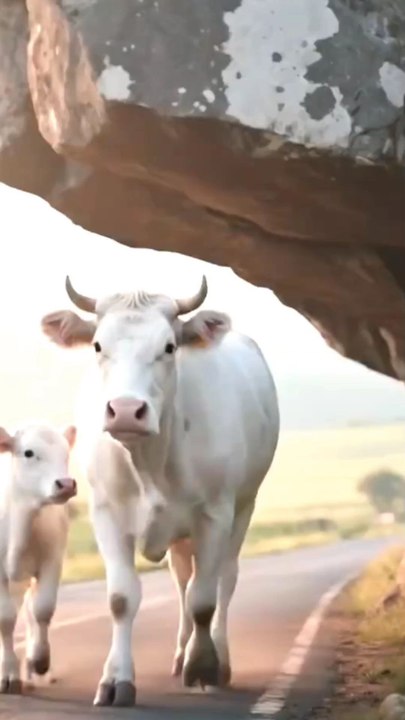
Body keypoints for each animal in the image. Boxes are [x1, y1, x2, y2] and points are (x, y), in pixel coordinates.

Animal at [0, 422, 77, 694]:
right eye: (29, 453)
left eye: (66, 453)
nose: (66, 484)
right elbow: (5, 618)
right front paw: (8, 674)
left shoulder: (52, 561)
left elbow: (42, 609)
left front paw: (40, 660)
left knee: (31, 612)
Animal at [41, 275, 280, 708]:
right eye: (98, 345)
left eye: (169, 347)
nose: (125, 410)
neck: (150, 462)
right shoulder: (107, 515)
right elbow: (122, 599)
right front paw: (116, 679)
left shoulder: (215, 514)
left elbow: (204, 598)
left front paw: (204, 666)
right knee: (182, 580)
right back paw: (180, 652)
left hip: (243, 508)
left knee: (223, 579)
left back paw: (217, 657)